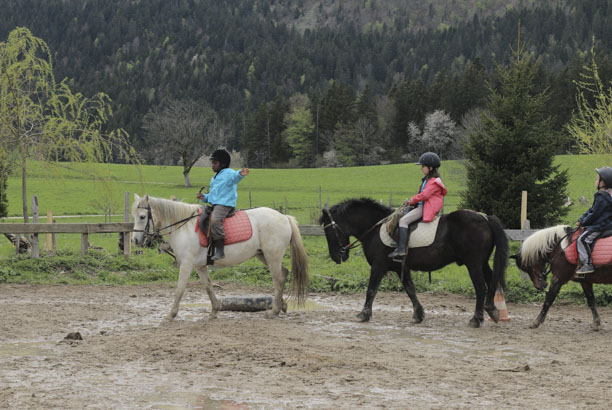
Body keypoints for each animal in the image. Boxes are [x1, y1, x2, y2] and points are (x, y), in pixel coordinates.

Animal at [131, 194, 308, 318]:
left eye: (142, 217)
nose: (135, 240)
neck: (184, 228)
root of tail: (284, 217)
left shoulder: (187, 264)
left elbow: (180, 289)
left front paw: (171, 314)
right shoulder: (199, 266)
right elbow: (208, 286)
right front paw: (215, 310)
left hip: (272, 256)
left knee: (278, 279)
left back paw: (274, 311)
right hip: (264, 255)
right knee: (283, 274)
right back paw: (281, 306)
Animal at [318, 197, 510, 328]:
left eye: (329, 232)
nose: (336, 257)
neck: (375, 229)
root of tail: (485, 218)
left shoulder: (378, 266)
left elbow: (371, 290)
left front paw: (363, 314)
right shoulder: (400, 268)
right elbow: (410, 290)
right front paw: (419, 314)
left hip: (474, 264)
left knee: (480, 287)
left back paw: (476, 319)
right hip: (482, 263)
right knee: (492, 281)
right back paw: (492, 310)